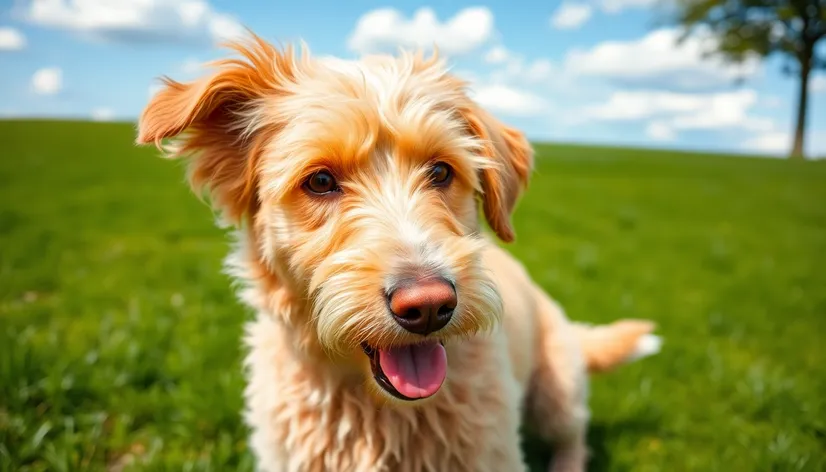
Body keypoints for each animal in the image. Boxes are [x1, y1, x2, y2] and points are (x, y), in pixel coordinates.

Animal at [138, 31, 660, 470]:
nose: (429, 306)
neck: (377, 408)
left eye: (441, 171)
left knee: (574, 438)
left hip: (557, 390)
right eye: (320, 181)